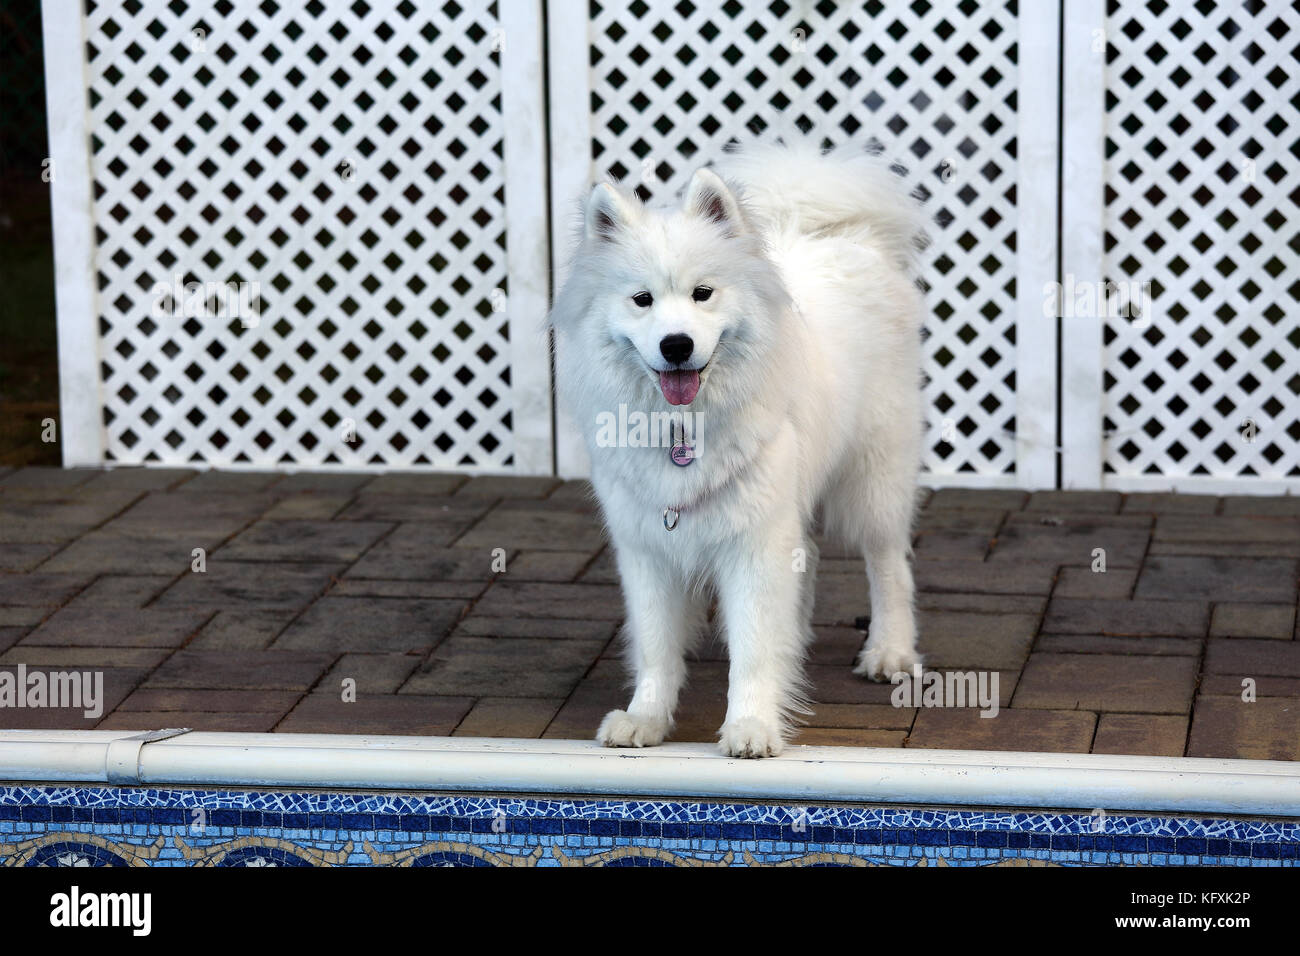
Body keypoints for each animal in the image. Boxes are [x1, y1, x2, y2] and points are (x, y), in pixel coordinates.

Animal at [548, 141, 925, 759]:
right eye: (642, 300)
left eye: (703, 293)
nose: (676, 345)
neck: (683, 431)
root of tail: (842, 234)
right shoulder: (647, 547)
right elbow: (656, 646)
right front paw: (645, 718)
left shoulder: (754, 542)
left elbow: (751, 649)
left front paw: (752, 726)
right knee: (810, 559)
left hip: (873, 478)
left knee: (888, 565)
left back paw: (889, 651)